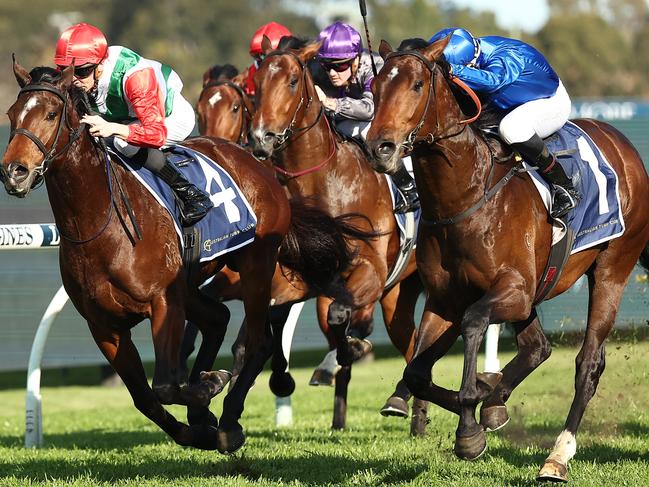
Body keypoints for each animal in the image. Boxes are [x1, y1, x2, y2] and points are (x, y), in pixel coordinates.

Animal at [2, 62, 370, 458]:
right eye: (11, 113)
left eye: (51, 114)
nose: (14, 171)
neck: (99, 223)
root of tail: (258, 163)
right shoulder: (104, 326)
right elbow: (146, 398)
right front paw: (198, 425)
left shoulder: (163, 302)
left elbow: (164, 385)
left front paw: (211, 388)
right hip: (192, 284)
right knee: (218, 318)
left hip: (255, 265)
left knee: (258, 340)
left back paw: (229, 420)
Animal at [249, 40, 430, 432]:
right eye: (257, 83)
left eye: (291, 80)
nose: (260, 138)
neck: (325, 182)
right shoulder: (303, 278)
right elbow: (275, 314)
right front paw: (283, 377)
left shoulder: (371, 271)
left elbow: (339, 316)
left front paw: (353, 349)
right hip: (397, 295)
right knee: (411, 345)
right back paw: (409, 411)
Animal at [364, 36, 648, 482]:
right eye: (375, 89)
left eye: (416, 85)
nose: (380, 147)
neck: (466, 195)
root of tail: (623, 144)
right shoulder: (444, 299)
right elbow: (417, 372)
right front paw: (481, 402)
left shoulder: (512, 290)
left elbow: (474, 321)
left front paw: (470, 423)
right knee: (538, 347)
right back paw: (496, 401)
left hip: (612, 268)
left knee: (587, 364)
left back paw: (557, 456)